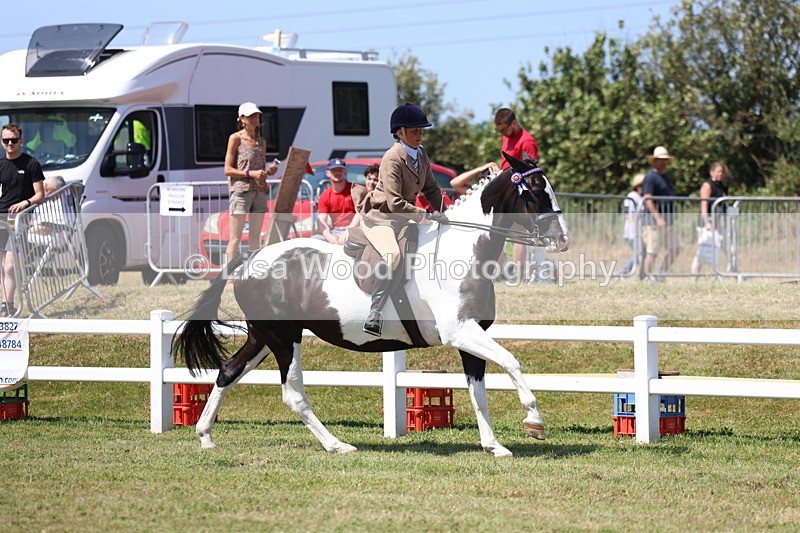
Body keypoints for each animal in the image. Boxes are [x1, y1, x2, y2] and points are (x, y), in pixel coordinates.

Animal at [172, 152, 571, 458]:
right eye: (536, 191)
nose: (563, 240)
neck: (464, 250)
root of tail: (251, 257)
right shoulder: (460, 332)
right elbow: (512, 361)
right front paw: (534, 421)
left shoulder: (470, 336)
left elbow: (479, 393)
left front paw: (493, 446)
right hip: (284, 338)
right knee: (293, 394)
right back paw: (336, 445)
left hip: (263, 337)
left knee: (228, 371)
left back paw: (205, 436)